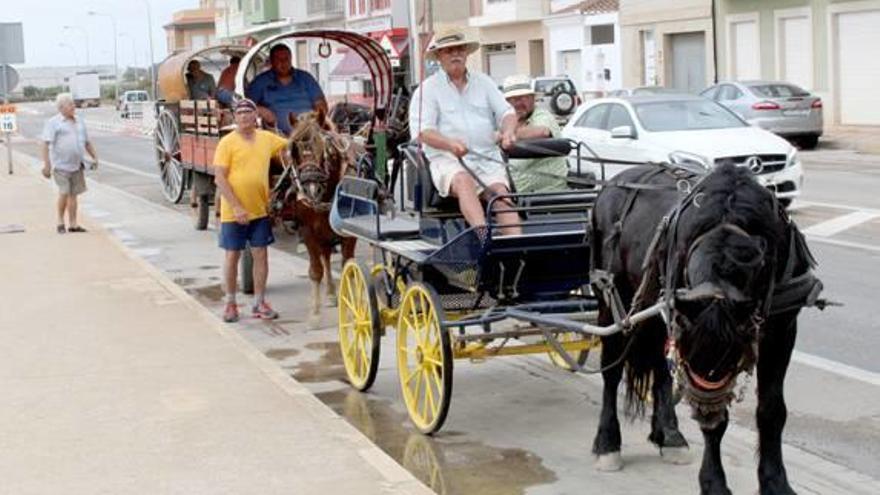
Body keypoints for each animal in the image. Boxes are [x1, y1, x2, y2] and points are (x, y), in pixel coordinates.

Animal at [276, 110, 356, 316]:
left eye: (325, 148)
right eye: (294, 150)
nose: (311, 188)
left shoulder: (349, 233)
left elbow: (348, 268)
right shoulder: (307, 230)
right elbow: (316, 270)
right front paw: (315, 311)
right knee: (325, 257)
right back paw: (329, 293)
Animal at [592, 164, 824, 495]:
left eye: (734, 356)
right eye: (696, 360)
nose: (705, 412)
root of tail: (613, 182)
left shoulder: (782, 331)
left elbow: (772, 411)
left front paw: (775, 482)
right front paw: (714, 482)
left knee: (660, 371)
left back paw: (669, 435)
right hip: (613, 301)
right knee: (611, 372)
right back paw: (608, 443)